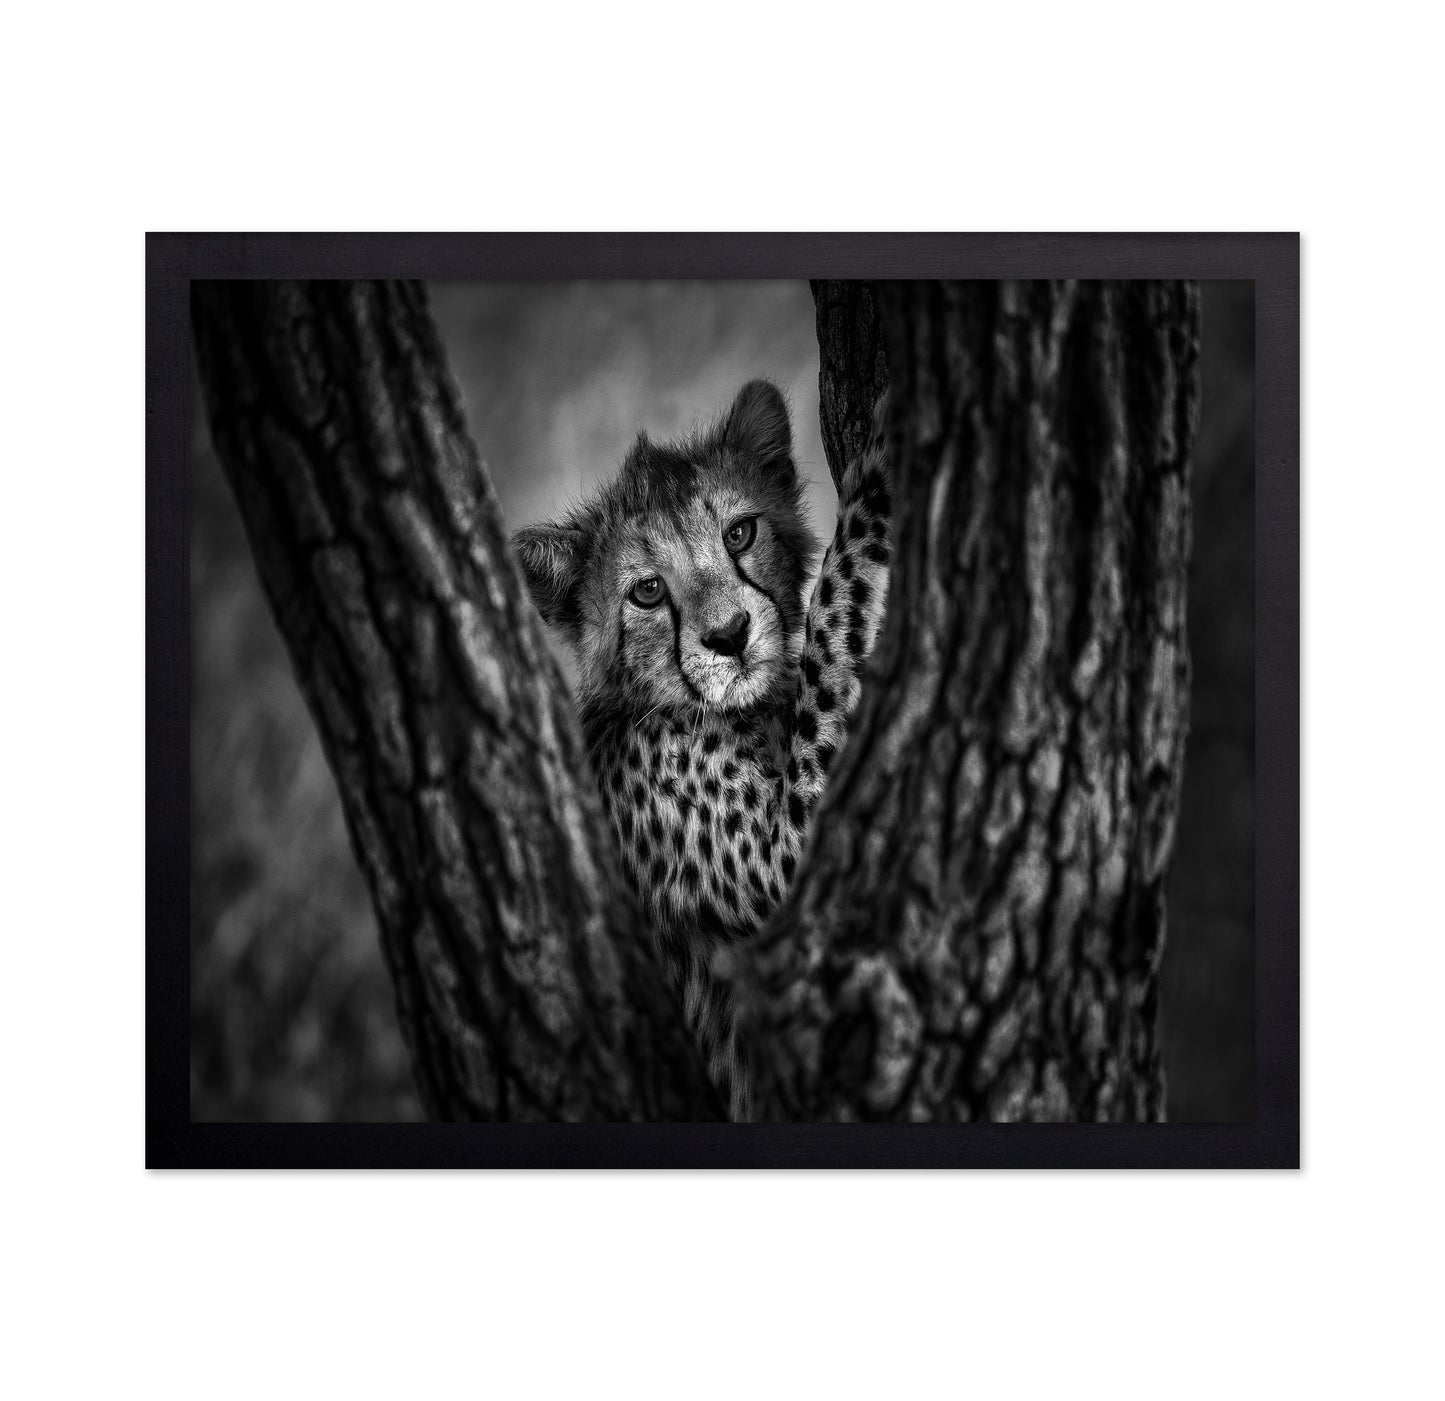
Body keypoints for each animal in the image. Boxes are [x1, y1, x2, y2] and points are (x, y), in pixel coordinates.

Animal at [513, 379, 891, 1117]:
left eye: (739, 533)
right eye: (647, 590)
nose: (729, 634)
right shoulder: (789, 873)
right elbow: (836, 612)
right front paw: (880, 475)